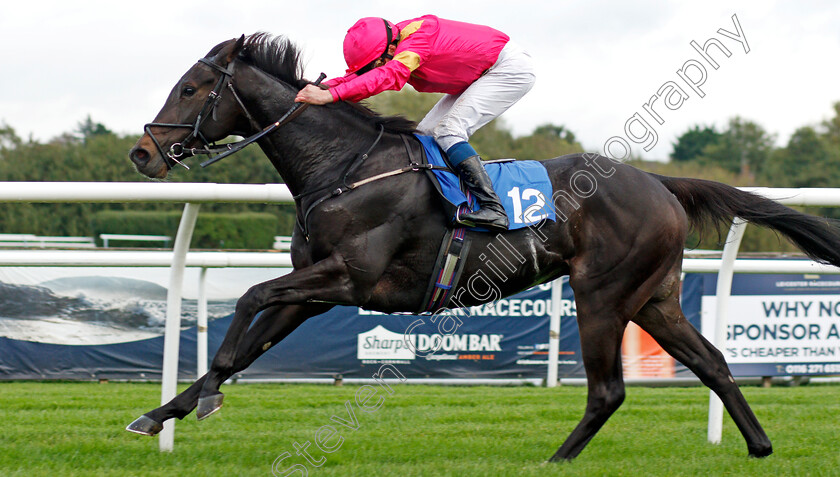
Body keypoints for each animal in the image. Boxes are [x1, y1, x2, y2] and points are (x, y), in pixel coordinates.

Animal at [128, 32, 840, 458]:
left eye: (191, 88)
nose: (142, 154)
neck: (343, 168)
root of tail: (660, 183)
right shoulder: (316, 291)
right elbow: (246, 345)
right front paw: (161, 414)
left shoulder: (348, 278)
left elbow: (248, 301)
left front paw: (201, 400)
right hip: (655, 298)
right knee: (713, 362)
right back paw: (758, 446)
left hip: (602, 295)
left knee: (609, 390)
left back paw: (555, 461)